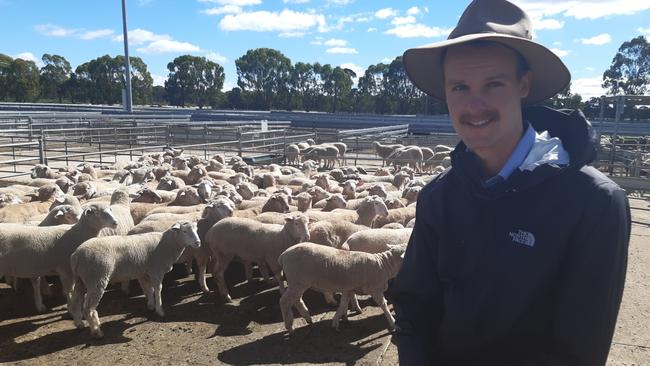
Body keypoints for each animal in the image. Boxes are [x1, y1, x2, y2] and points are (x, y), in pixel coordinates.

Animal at [69, 220, 199, 338]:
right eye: (184, 231)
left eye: (196, 230)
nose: (198, 242)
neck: (168, 244)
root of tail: (76, 255)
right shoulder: (156, 271)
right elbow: (158, 290)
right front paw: (160, 310)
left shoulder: (143, 272)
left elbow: (148, 290)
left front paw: (151, 305)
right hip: (96, 278)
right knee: (88, 308)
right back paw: (97, 331)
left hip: (80, 280)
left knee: (75, 302)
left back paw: (79, 323)